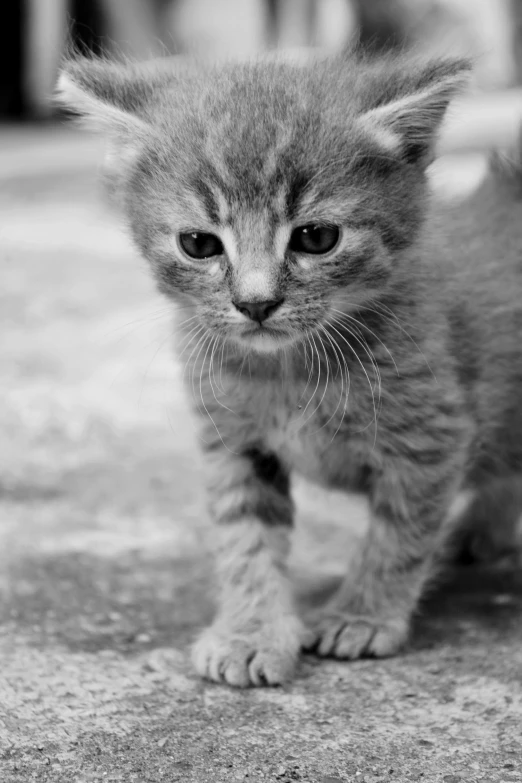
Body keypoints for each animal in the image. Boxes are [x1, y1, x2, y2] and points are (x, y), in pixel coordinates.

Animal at [57, 47, 520, 688]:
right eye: (199, 244)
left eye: (316, 237)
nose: (256, 303)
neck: (289, 371)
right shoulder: (234, 442)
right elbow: (245, 540)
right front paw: (250, 632)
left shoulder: (431, 438)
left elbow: (398, 534)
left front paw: (362, 615)